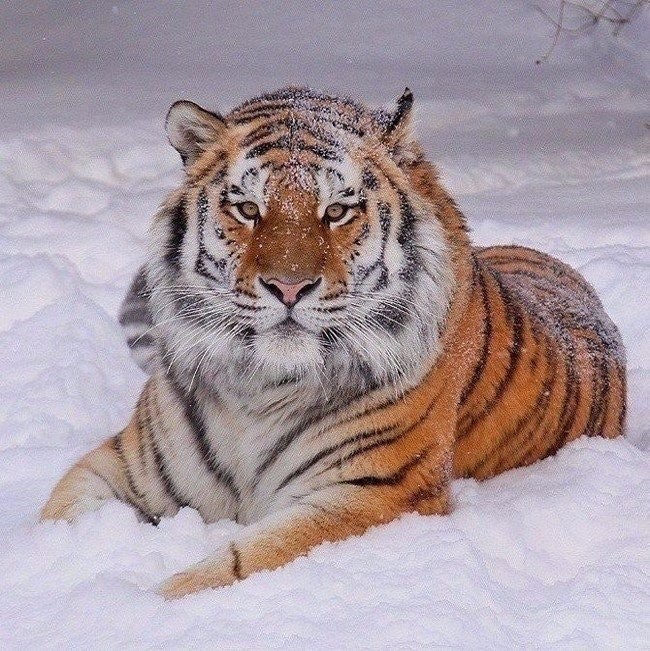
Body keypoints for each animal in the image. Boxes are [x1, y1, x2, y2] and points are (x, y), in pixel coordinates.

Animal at [41, 87, 626, 599]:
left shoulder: (379, 492)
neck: (258, 388)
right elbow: (55, 517)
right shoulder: (127, 466)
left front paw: (142, 604)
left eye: (338, 211)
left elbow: (237, 564)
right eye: (248, 209)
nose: (288, 287)